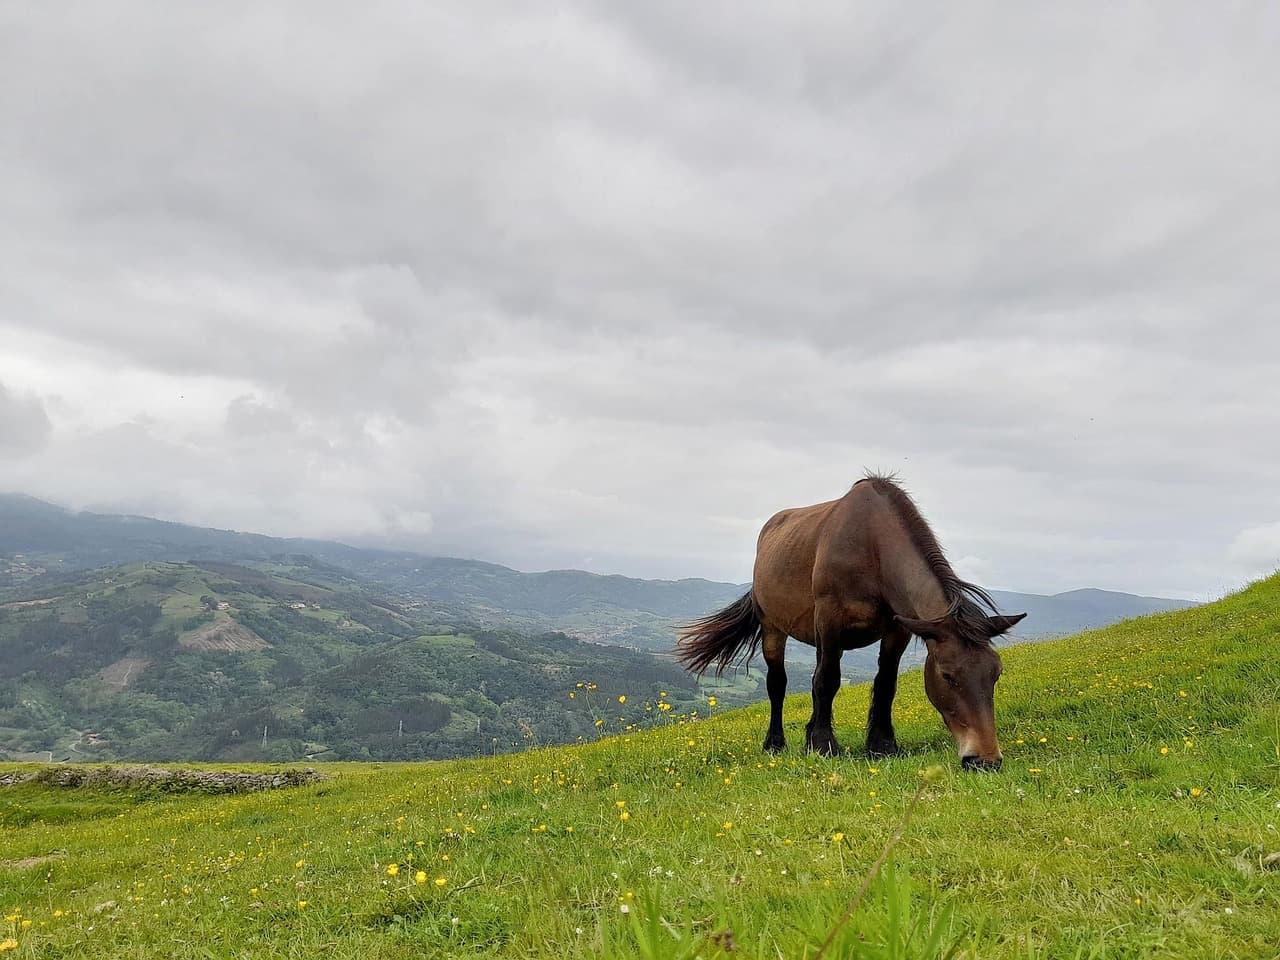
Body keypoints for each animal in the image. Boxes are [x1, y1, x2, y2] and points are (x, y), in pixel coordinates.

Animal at [676, 475, 1024, 771]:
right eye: (948, 675)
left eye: (995, 674)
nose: (985, 759)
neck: (872, 547)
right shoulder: (830, 619)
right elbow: (827, 680)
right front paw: (823, 745)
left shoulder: (897, 629)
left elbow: (885, 684)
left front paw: (881, 745)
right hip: (773, 626)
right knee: (778, 684)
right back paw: (775, 743)